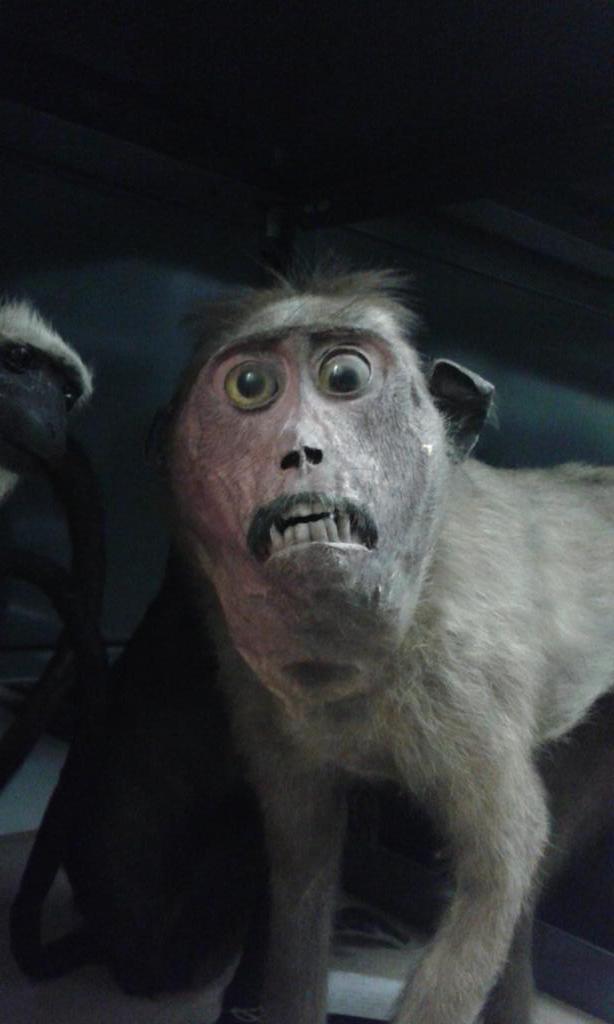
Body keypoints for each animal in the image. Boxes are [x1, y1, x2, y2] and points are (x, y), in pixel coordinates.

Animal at [162, 266, 613, 1024]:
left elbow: (499, 872)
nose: (300, 452)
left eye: (345, 376)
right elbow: (303, 869)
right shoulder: (257, 691)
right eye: (250, 386)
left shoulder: (461, 678)